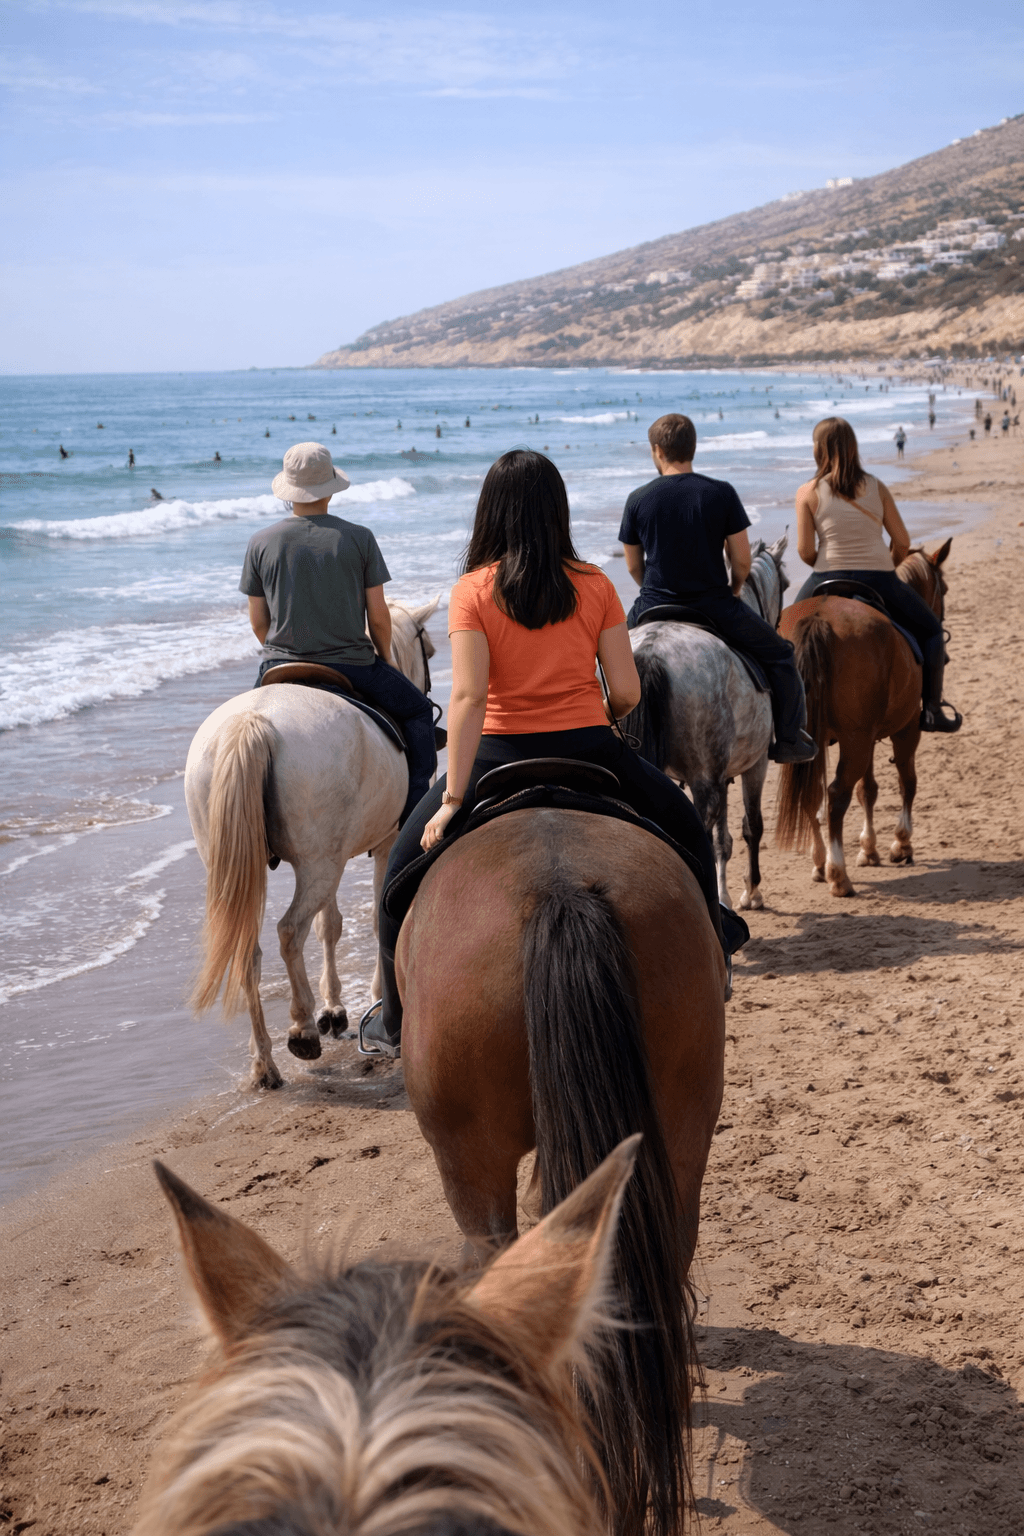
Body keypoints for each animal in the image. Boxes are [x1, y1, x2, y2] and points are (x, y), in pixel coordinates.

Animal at [184, 598, 438, 1089]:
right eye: (430, 651)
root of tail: (253, 721)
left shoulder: (334, 853)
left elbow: (331, 925)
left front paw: (335, 1009)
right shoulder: (385, 843)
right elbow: (370, 921)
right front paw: (363, 1002)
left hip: (263, 864)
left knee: (252, 946)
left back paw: (265, 1063)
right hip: (320, 863)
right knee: (289, 932)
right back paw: (301, 1028)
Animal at [622, 535, 790, 913]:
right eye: (787, 586)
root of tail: (651, 650)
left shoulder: (720, 774)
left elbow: (722, 841)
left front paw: (726, 894)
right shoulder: (755, 763)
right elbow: (751, 826)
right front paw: (751, 892)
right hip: (706, 777)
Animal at [775, 540, 951, 897]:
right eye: (945, 589)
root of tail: (817, 618)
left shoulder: (866, 734)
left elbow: (867, 789)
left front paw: (869, 849)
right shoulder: (905, 729)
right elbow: (907, 782)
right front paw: (901, 844)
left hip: (812, 741)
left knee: (813, 796)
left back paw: (821, 863)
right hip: (860, 738)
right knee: (835, 796)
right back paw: (838, 874)